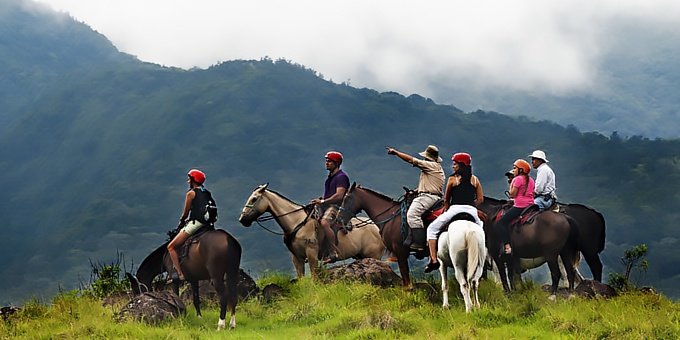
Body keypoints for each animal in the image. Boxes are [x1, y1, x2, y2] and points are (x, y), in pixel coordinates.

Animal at [239, 183, 388, 278]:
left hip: (373, 255)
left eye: (254, 199)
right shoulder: (296, 258)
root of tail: (377, 227)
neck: (297, 223)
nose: (242, 220)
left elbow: (314, 278)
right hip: (361, 256)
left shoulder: (311, 254)